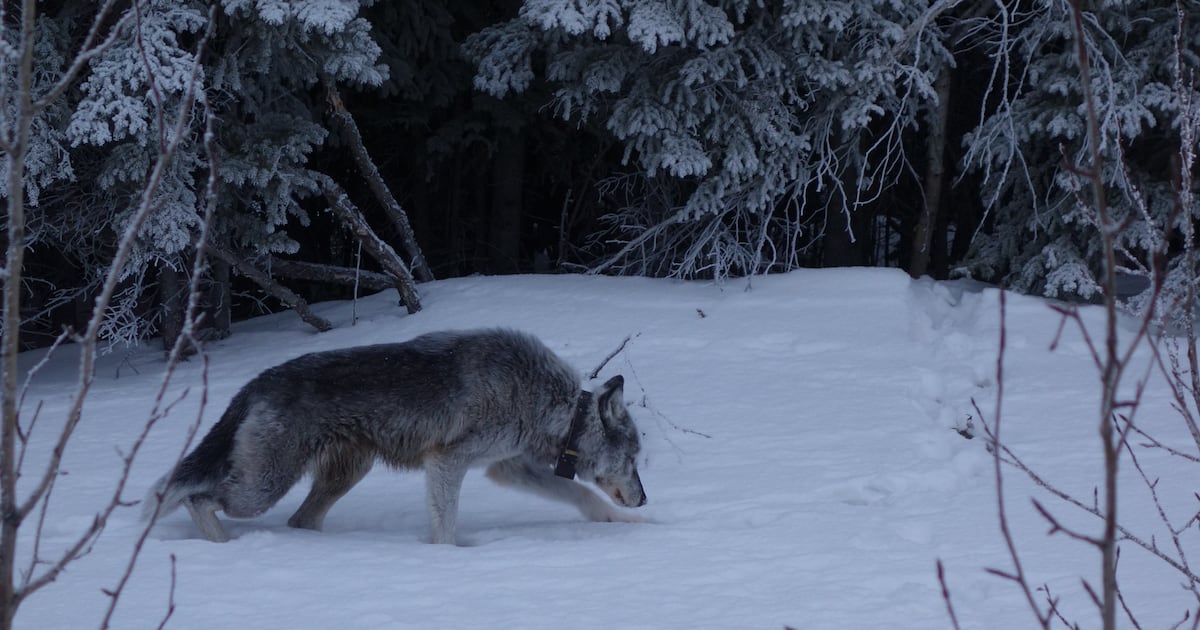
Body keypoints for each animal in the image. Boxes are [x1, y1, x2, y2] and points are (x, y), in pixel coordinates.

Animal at [144, 328, 647, 544]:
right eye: (634, 460)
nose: (643, 499)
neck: (550, 403)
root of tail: (255, 383)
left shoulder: (507, 467)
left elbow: (582, 496)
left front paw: (621, 522)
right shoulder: (447, 462)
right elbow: (444, 528)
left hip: (343, 474)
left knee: (300, 521)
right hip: (261, 489)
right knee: (194, 497)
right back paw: (222, 546)